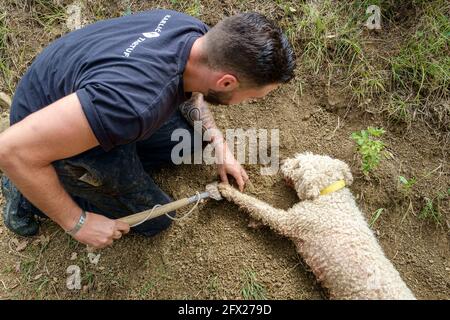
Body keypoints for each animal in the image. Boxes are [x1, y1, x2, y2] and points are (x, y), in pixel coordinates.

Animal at [218, 152, 414, 300]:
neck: (329, 195)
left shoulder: (291, 221)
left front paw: (227, 190)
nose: (283, 161)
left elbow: (259, 207)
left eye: (298, 165)